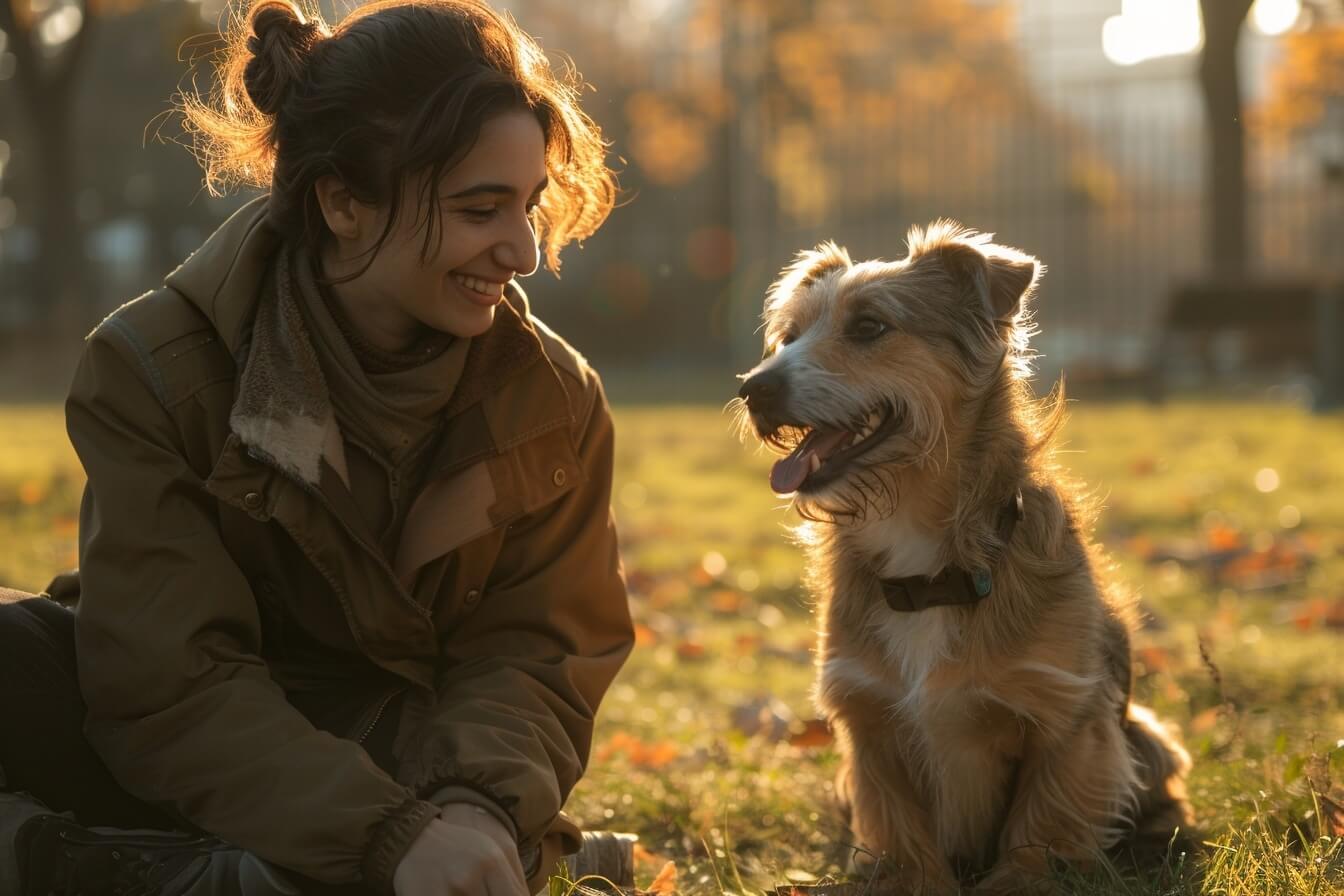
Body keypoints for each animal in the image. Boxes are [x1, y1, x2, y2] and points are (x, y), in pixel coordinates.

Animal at [736, 222, 1198, 891]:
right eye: (789, 337)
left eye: (869, 326)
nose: (753, 389)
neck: (929, 568)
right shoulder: (868, 724)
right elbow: (902, 836)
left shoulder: (1069, 720)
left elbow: (1041, 824)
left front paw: (1022, 879)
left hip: (1146, 731)